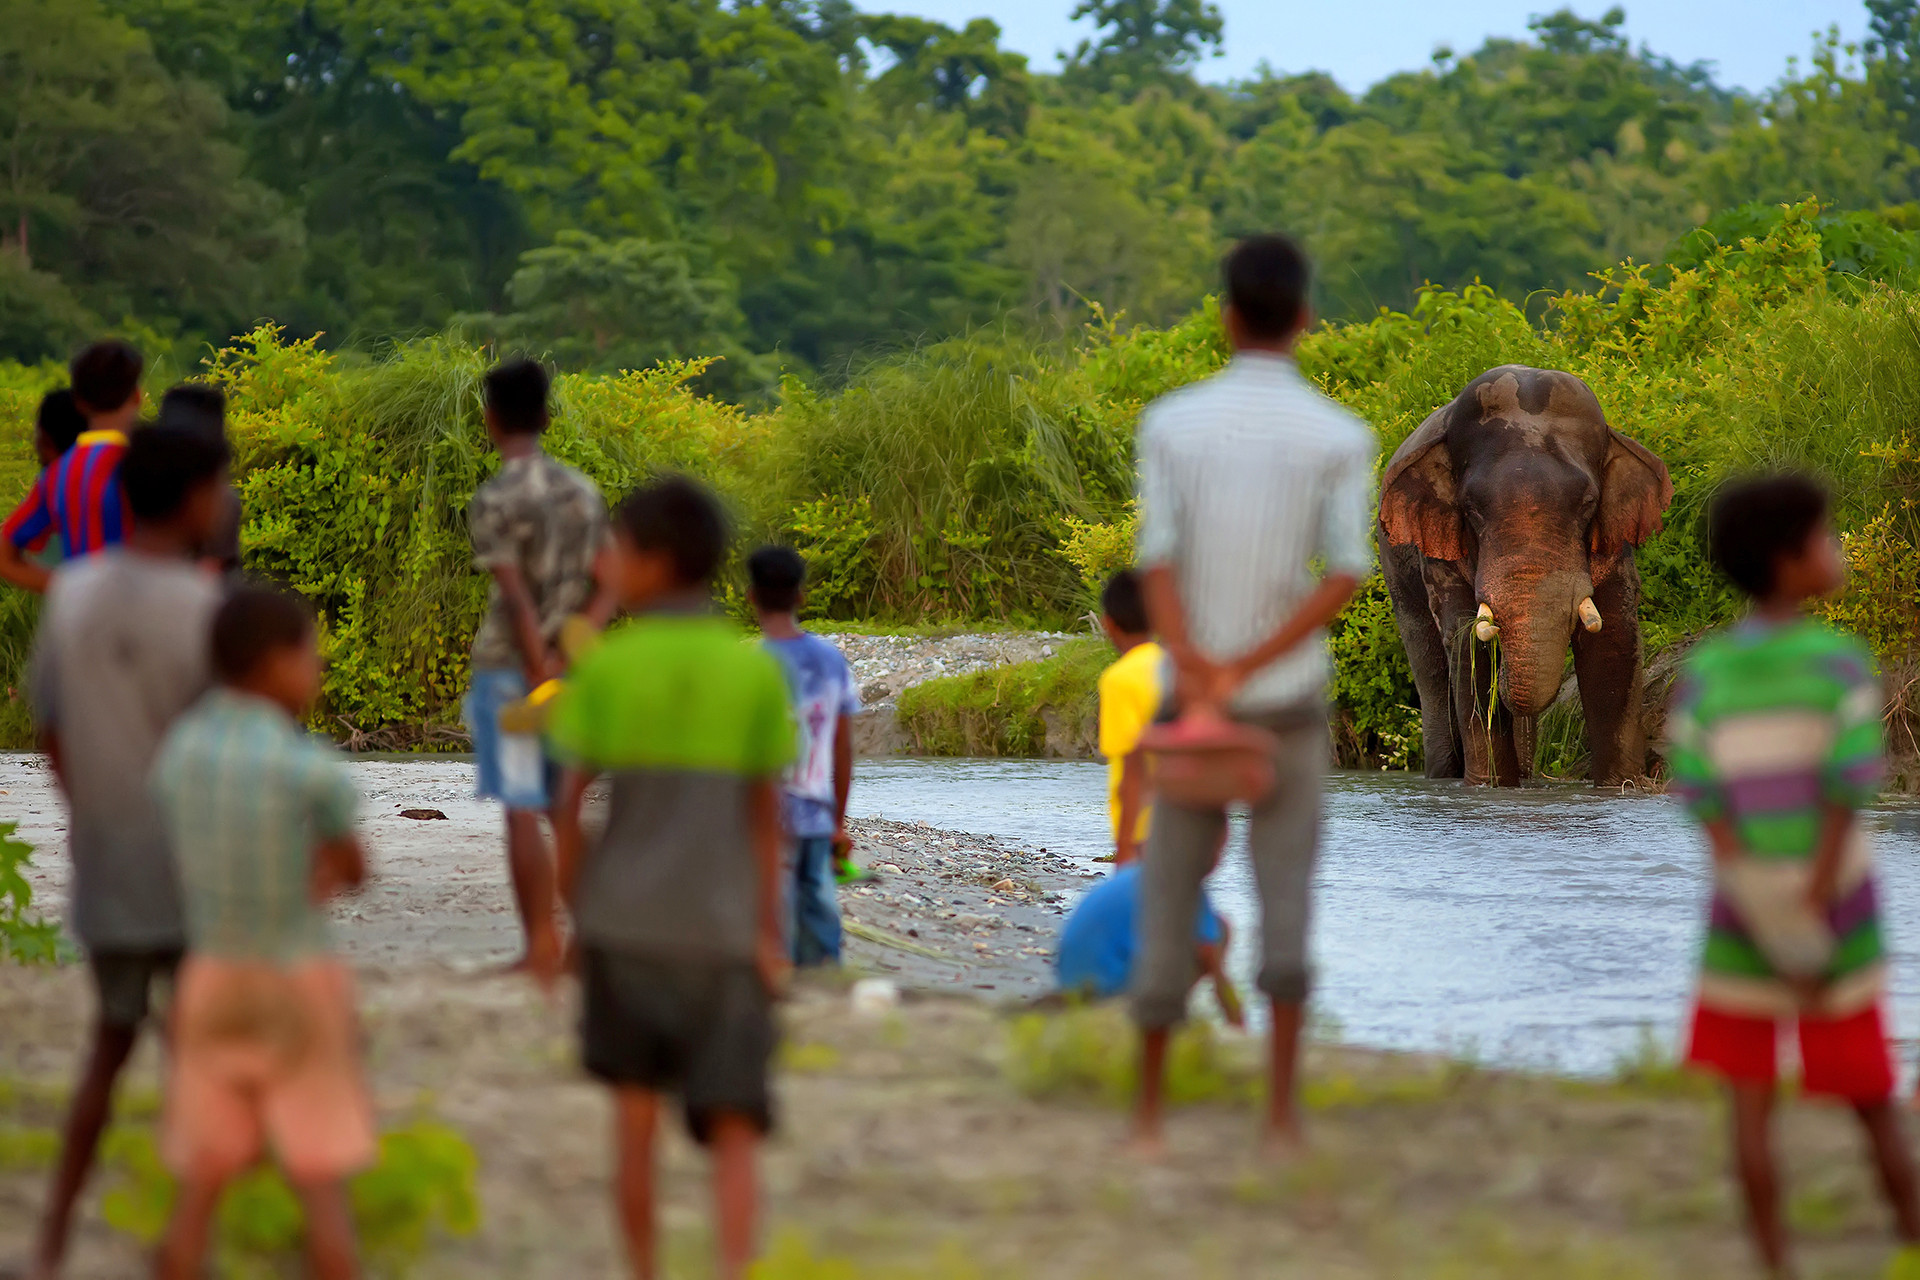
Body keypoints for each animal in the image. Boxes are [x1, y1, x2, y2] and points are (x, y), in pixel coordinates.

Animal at [1377, 365, 1673, 786]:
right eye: (1471, 508)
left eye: (1589, 503)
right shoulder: (1439, 550)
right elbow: (1469, 641)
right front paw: (1491, 787)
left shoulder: (1615, 539)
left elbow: (1613, 639)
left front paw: (1621, 786)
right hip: (1396, 571)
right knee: (1429, 662)